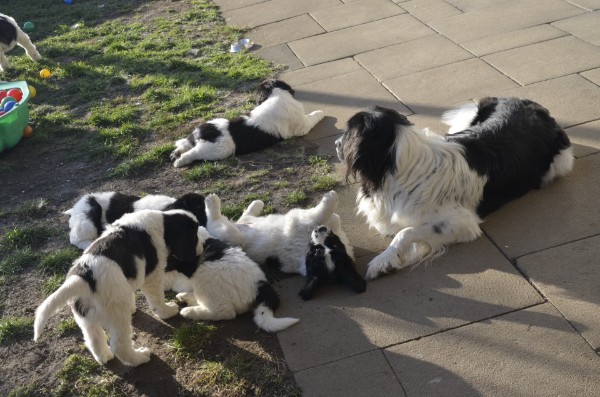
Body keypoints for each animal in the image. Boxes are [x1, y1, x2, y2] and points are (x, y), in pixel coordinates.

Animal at [34, 209, 202, 366]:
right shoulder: (153, 276)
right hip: (117, 312)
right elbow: (157, 299)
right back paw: (139, 357)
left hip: (85, 317)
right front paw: (167, 311)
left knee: (93, 339)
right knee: (119, 345)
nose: (201, 247)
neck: (164, 223)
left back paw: (105, 357)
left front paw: (133, 308)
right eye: (194, 236)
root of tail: (84, 276)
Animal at [169, 79, 324, 167]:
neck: (276, 95)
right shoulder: (302, 125)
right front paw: (321, 112)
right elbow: (313, 117)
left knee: (186, 144)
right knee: (193, 153)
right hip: (218, 149)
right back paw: (180, 161)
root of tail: (202, 132)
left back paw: (176, 152)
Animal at [336, 98, 576, 278]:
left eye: (348, 132)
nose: (336, 144)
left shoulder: (461, 221)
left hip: (559, 164)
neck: (397, 164)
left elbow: (406, 232)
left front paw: (383, 261)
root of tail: (532, 105)